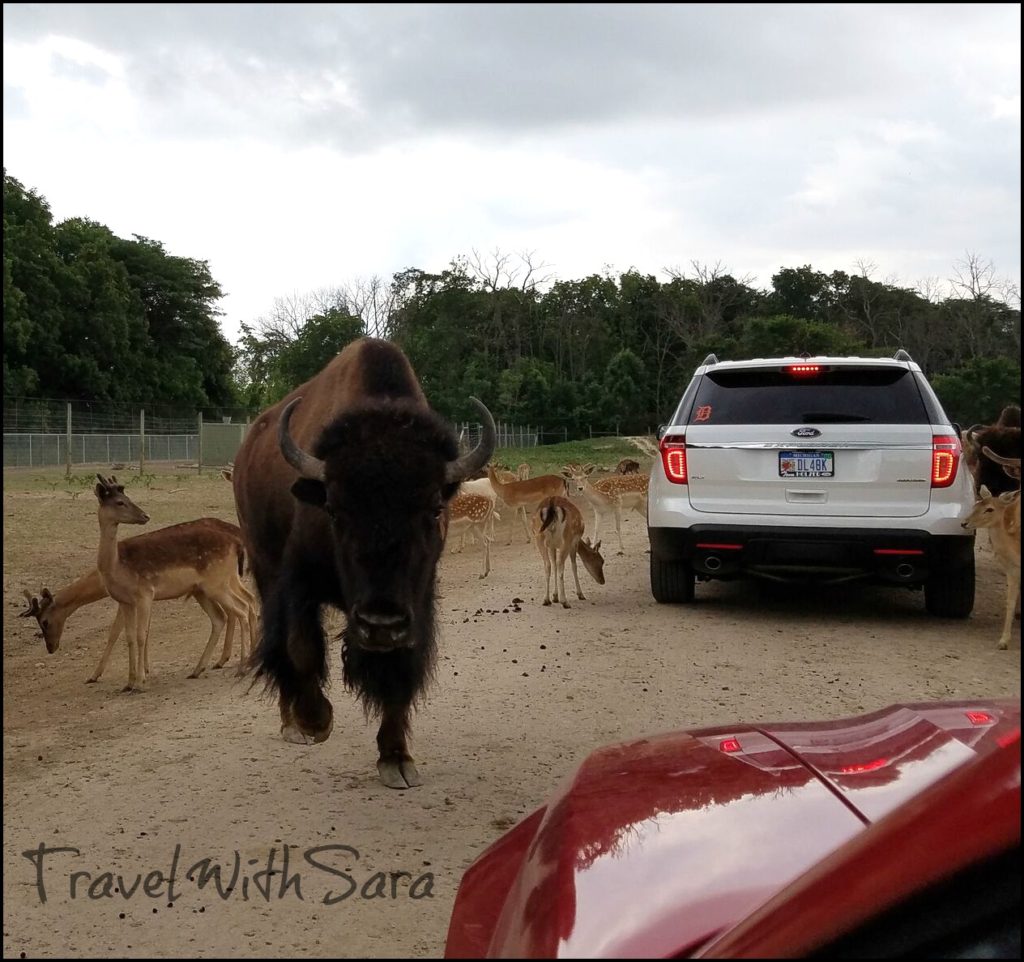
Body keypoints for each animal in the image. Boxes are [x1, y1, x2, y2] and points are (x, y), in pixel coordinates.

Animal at [21, 518, 256, 684]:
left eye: (44, 621)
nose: (51, 647)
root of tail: (237, 538)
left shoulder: (132, 598)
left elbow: (116, 633)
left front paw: (95, 675)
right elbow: (141, 631)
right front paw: (144, 670)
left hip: (220, 583)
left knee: (239, 608)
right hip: (218, 584)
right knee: (245, 603)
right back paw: (222, 661)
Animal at [91, 475, 253, 692]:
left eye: (126, 498)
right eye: (120, 502)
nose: (145, 516)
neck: (117, 566)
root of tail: (236, 543)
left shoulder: (145, 593)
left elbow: (141, 635)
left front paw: (140, 682)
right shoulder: (125, 601)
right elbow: (130, 637)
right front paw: (128, 683)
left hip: (217, 583)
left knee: (241, 608)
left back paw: (241, 666)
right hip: (206, 588)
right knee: (225, 614)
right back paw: (198, 669)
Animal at [236, 338, 499, 790]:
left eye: (433, 508)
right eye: (334, 509)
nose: (380, 623)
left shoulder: (416, 602)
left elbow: (400, 673)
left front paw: (396, 759)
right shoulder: (298, 582)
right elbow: (299, 647)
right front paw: (316, 721)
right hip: (262, 564)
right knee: (275, 644)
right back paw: (292, 725)